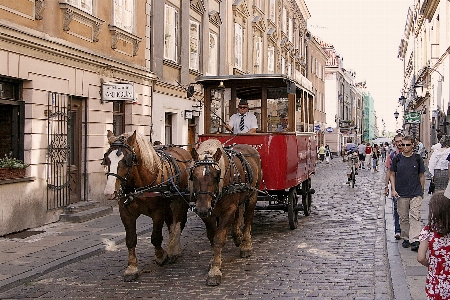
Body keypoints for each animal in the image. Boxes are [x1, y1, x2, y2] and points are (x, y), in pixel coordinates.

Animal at [103, 131, 190, 282]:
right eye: (107, 160)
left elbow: (155, 236)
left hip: (181, 201)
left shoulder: (158, 212)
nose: (109, 193)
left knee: (178, 223)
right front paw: (131, 268)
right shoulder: (125, 213)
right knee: (171, 224)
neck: (140, 185)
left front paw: (161, 256)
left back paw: (174, 249)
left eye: (126, 161)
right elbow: (131, 239)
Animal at [191, 139, 264, 286]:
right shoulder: (208, 215)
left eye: (216, 176)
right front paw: (214, 261)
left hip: (253, 194)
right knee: (238, 216)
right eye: (194, 176)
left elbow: (219, 238)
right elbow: (212, 237)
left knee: (248, 218)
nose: (202, 208)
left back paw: (246, 245)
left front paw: (214, 271)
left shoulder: (228, 209)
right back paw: (237, 236)